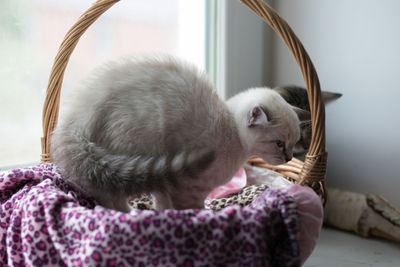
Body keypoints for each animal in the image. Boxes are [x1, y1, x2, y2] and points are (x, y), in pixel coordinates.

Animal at [50, 56, 310, 214]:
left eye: (294, 142)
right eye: (279, 143)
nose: (289, 158)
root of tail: (74, 121)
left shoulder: (168, 183)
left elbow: (163, 201)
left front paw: (164, 213)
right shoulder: (189, 187)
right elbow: (194, 209)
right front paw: (200, 217)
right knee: (111, 197)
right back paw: (130, 214)